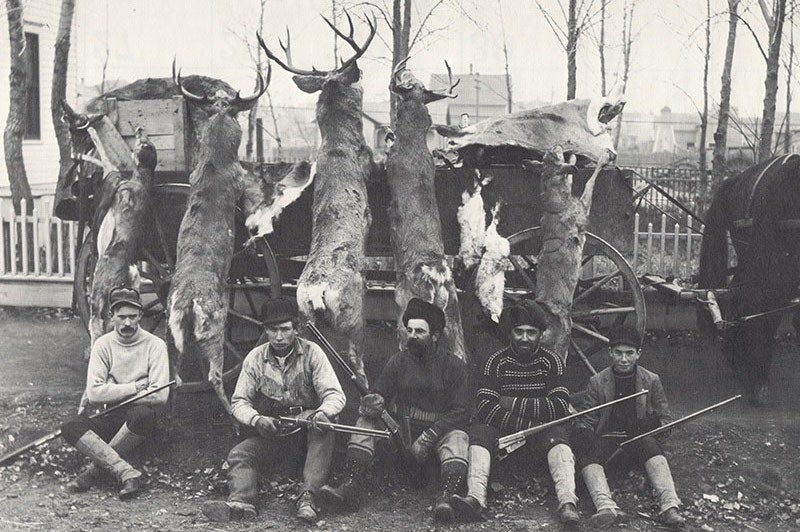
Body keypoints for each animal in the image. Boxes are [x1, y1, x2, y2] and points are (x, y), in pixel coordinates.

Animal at [166, 64, 269, 418]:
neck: (214, 162)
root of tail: (188, 304)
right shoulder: (242, 182)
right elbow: (253, 209)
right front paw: (254, 242)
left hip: (173, 331)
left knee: (174, 375)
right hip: (214, 326)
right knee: (212, 375)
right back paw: (237, 419)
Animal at [258, 12, 377, 384]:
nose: (362, 75)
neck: (338, 144)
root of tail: (316, 294)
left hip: (304, 320)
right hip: (353, 317)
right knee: (357, 366)